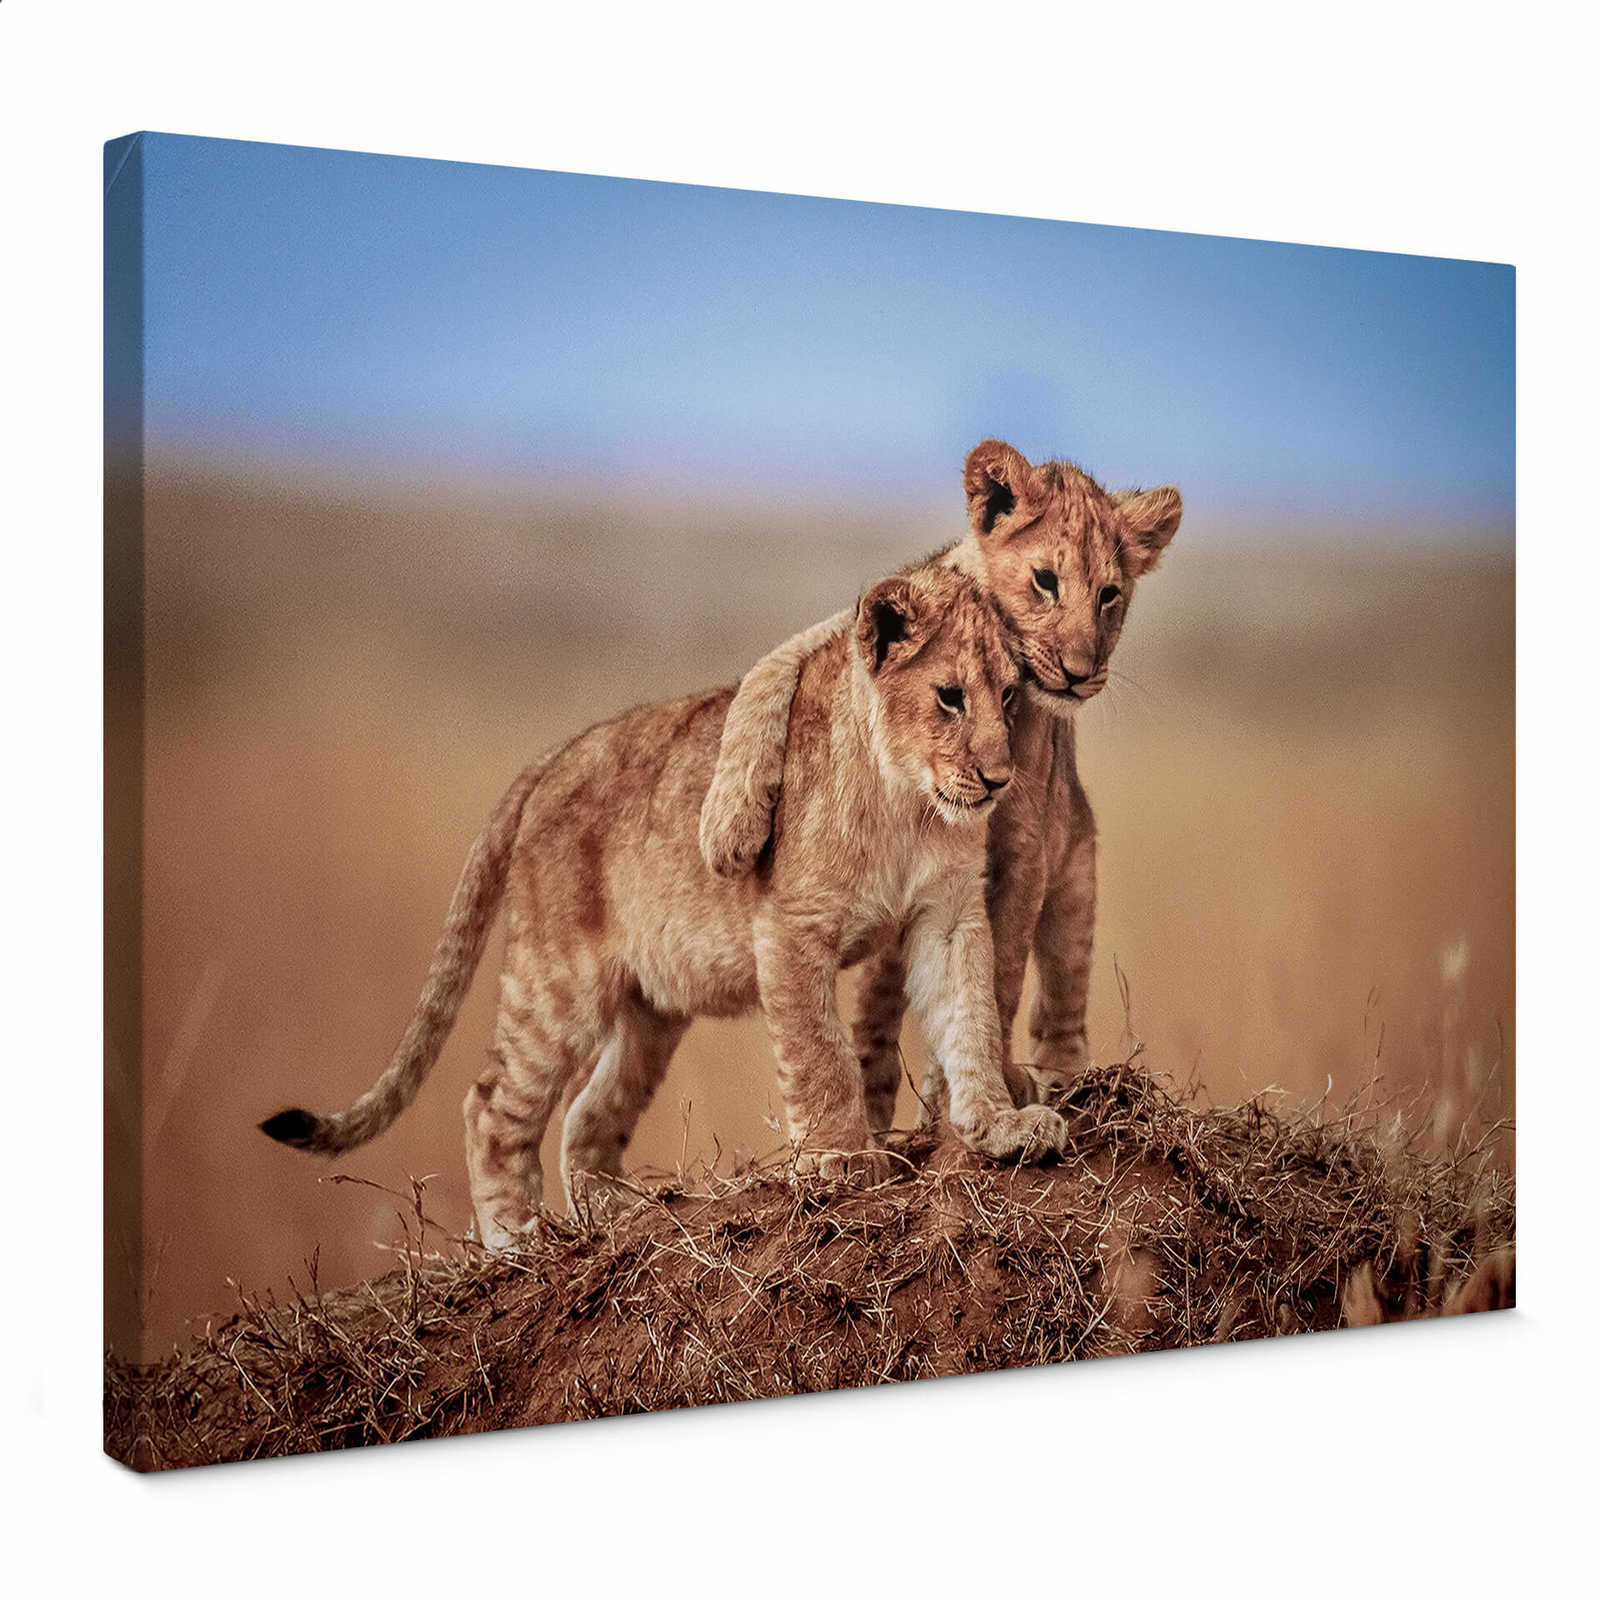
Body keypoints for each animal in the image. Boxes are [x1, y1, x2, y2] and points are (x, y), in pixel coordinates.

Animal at [261, 562, 1067, 1248]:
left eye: (1008, 698)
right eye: (949, 697)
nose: (998, 780)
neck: (908, 805)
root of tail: (555, 756)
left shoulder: (949, 915)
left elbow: (971, 1017)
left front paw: (1000, 1125)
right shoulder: (790, 926)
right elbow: (819, 1053)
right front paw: (842, 1158)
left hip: (651, 1009)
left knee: (587, 1117)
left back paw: (622, 1211)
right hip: (558, 984)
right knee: (491, 1105)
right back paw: (515, 1242)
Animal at [699, 440, 1181, 1129]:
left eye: (1110, 595)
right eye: (1046, 581)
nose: (1081, 671)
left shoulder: (1024, 849)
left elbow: (997, 978)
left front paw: (971, 1095)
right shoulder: (851, 630)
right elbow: (770, 672)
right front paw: (731, 827)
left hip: (1075, 880)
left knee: (1059, 1009)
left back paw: (1058, 1086)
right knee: (875, 1017)